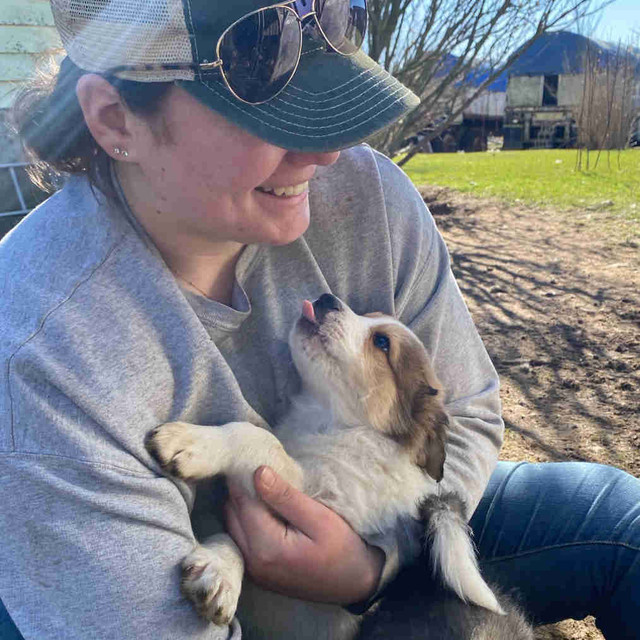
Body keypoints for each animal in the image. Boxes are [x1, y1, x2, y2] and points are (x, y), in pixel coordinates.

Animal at [148, 296, 524, 640]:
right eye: (368, 314)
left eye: (382, 342)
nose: (324, 298)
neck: (333, 424)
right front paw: (221, 569)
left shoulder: (319, 500)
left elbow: (259, 439)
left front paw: (191, 442)